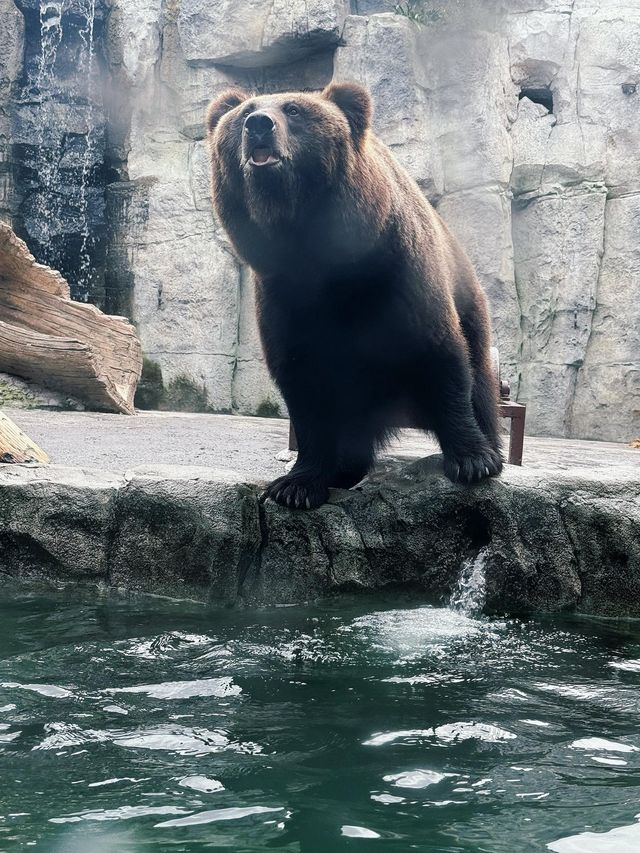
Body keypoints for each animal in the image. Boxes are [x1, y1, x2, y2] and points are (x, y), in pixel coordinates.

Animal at [208, 81, 502, 506]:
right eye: (245, 110)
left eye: (293, 109)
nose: (258, 124)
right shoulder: (285, 296)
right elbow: (304, 385)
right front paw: (296, 485)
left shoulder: (397, 271)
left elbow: (439, 354)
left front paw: (473, 460)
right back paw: (346, 467)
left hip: (468, 303)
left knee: (478, 373)